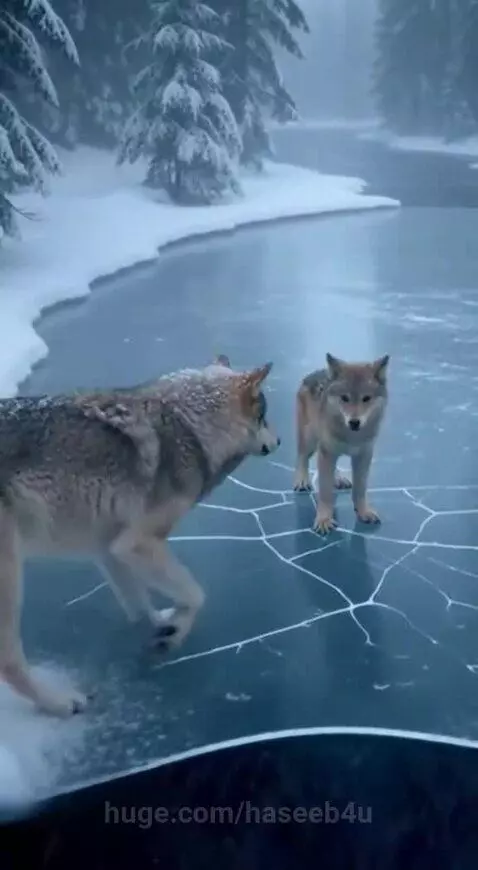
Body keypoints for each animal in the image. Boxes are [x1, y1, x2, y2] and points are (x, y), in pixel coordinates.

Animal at [0, 355, 279, 717]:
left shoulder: (110, 549)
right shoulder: (138, 544)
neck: (192, 427)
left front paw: (162, 622)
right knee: (9, 661)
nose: (280, 441)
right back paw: (60, 702)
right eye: (263, 416)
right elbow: (196, 594)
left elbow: (140, 602)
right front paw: (175, 632)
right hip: (10, 580)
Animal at [293, 353, 390, 535]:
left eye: (366, 398)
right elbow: (325, 492)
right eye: (345, 398)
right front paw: (324, 519)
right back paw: (302, 481)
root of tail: (312, 375)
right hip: (310, 439)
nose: (354, 422)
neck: (352, 436)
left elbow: (360, 488)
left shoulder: (364, 455)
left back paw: (338, 479)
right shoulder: (326, 451)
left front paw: (363, 512)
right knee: (301, 456)